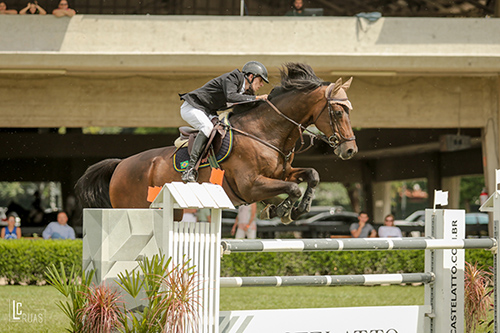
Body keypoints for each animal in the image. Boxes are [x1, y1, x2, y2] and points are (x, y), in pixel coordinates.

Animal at [76, 62, 358, 223]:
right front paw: (282, 210)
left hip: (174, 211)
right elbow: (293, 189)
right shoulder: (251, 185)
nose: (350, 150)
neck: (265, 132)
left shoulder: (282, 173)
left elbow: (311, 175)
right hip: (135, 207)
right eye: (338, 112)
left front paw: (297, 210)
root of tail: (121, 164)